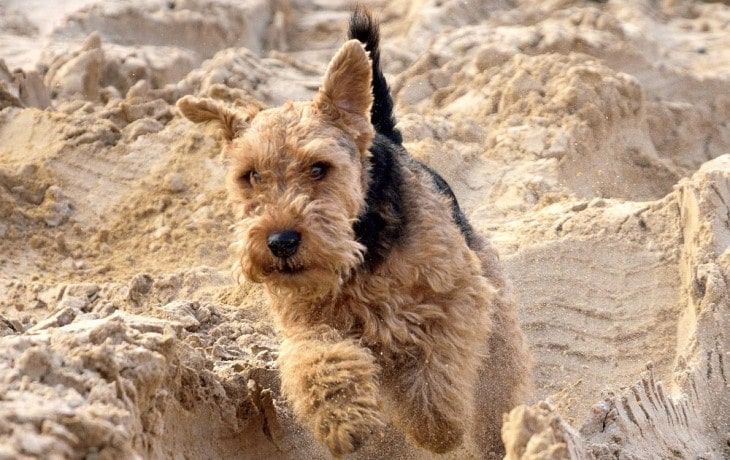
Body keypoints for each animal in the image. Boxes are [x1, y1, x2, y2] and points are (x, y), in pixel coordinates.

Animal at [176, 7, 528, 456]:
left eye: (319, 167)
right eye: (249, 175)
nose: (281, 242)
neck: (360, 252)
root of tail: (384, 133)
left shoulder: (456, 295)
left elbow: (437, 364)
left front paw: (436, 427)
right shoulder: (309, 324)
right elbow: (320, 360)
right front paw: (344, 421)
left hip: (494, 313)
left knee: (498, 382)